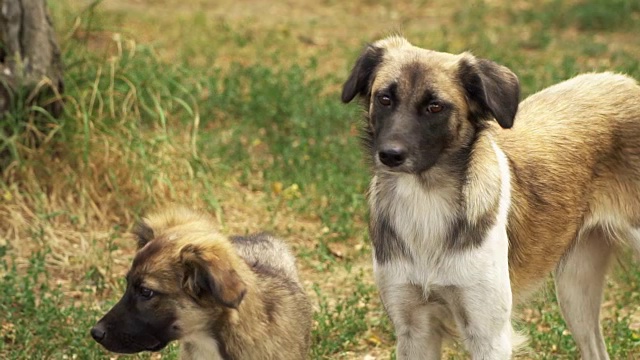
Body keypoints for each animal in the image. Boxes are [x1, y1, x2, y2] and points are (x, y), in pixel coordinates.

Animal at [340, 34, 640, 360]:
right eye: (384, 99)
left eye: (435, 106)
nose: (390, 155)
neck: (425, 202)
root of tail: (627, 83)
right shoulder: (414, 328)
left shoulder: (489, 335)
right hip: (576, 286)